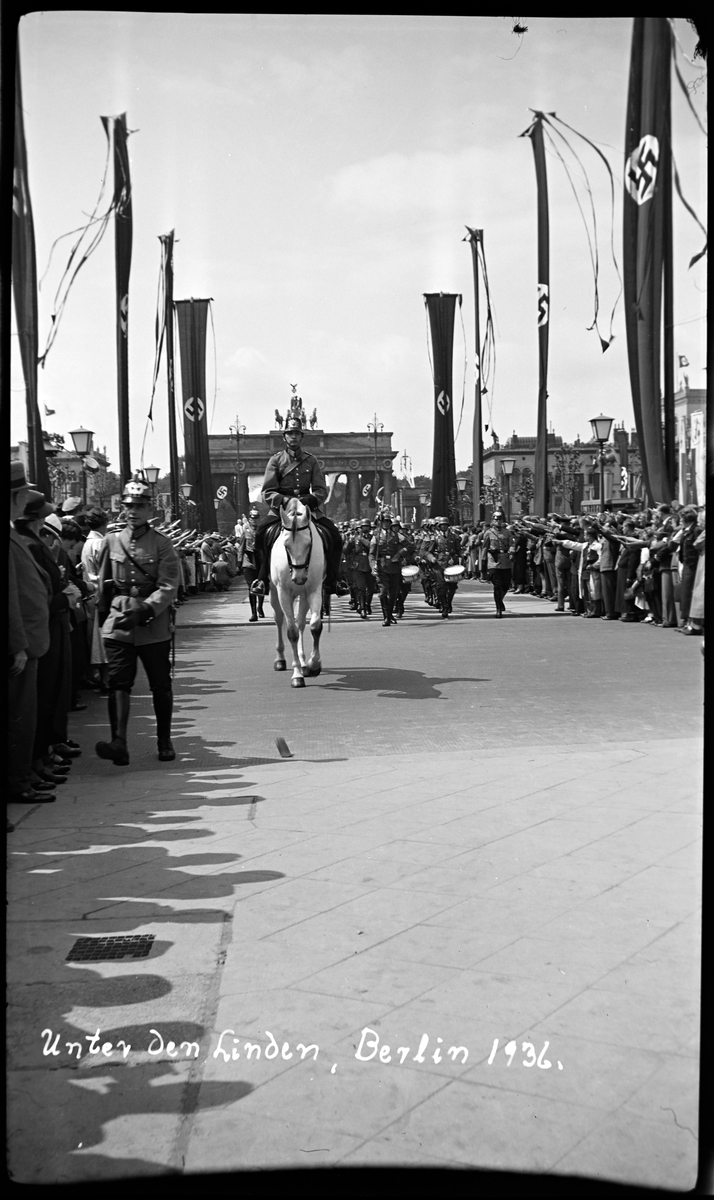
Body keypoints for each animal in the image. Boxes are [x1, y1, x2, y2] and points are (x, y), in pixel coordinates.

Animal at [271, 494, 326, 686]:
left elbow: (315, 626)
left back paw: (303, 662)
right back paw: (280, 659)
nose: (299, 577)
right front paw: (297, 675)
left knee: (301, 622)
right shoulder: (283, 592)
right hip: (274, 592)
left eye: (309, 544)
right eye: (286, 545)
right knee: (279, 619)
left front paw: (313, 665)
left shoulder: (314, 589)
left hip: (303, 593)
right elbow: (291, 632)